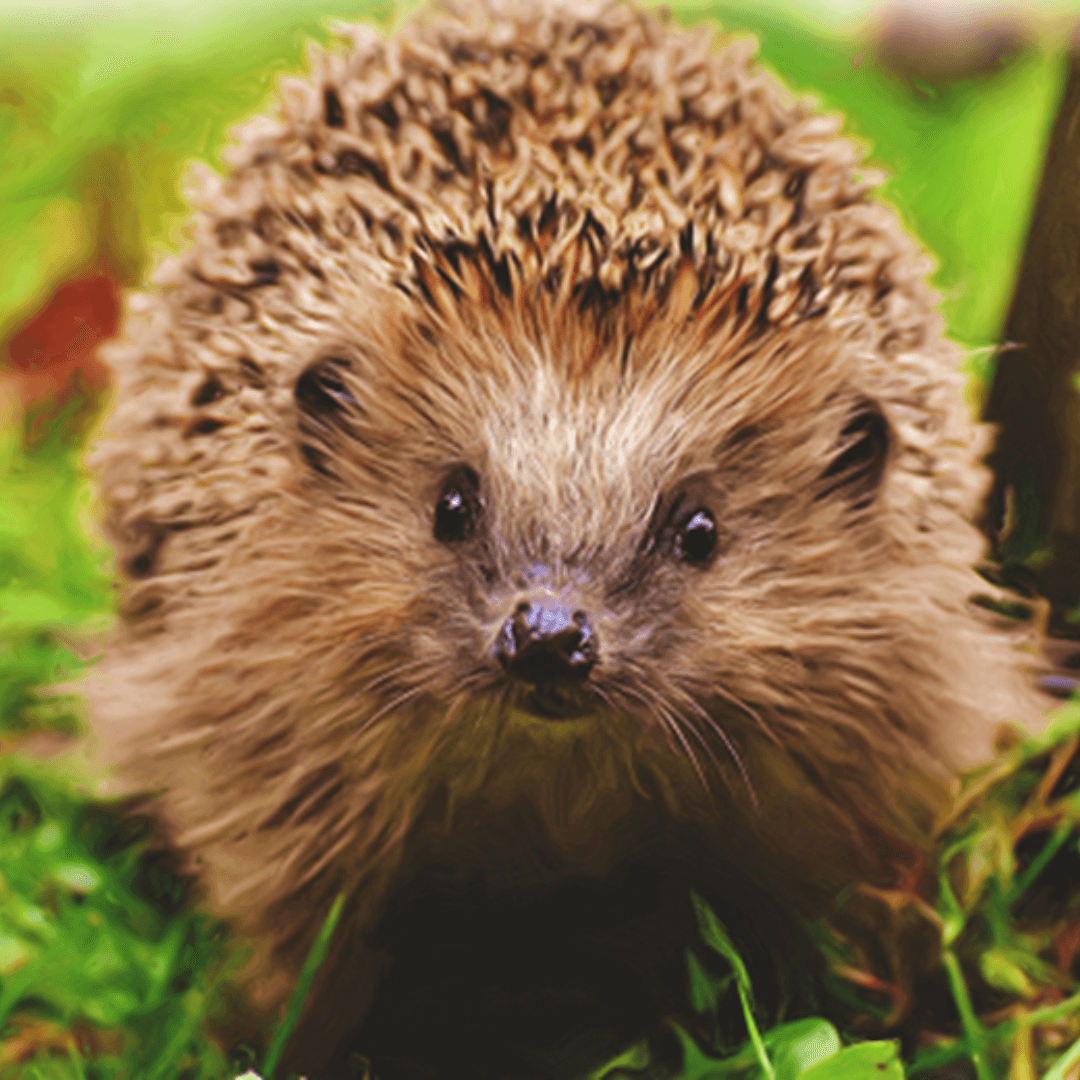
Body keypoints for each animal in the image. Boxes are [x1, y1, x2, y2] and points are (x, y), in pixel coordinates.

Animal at [81, 1, 1046, 1076]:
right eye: (453, 504)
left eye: (699, 528)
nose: (548, 635)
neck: (554, 777)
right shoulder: (262, 728)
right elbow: (298, 933)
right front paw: (278, 1040)